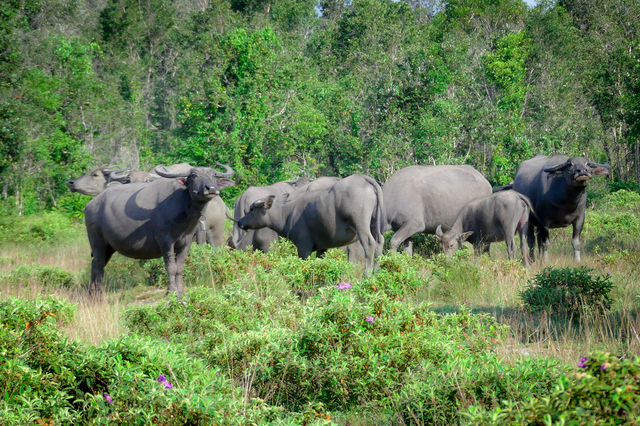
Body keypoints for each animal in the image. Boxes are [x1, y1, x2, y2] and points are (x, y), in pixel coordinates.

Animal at [83, 161, 235, 294]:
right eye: (193, 175)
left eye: (214, 175)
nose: (211, 189)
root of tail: (90, 205)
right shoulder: (165, 241)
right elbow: (171, 267)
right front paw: (171, 292)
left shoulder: (186, 242)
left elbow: (180, 267)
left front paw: (181, 292)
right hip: (97, 242)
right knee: (97, 265)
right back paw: (98, 294)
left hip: (109, 246)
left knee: (98, 265)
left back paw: (93, 293)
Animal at [238, 174, 382, 276]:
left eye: (252, 209)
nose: (240, 222)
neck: (287, 213)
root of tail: (363, 179)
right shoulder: (322, 248)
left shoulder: (303, 247)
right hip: (375, 223)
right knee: (380, 242)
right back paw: (376, 272)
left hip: (361, 225)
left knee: (369, 243)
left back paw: (367, 275)